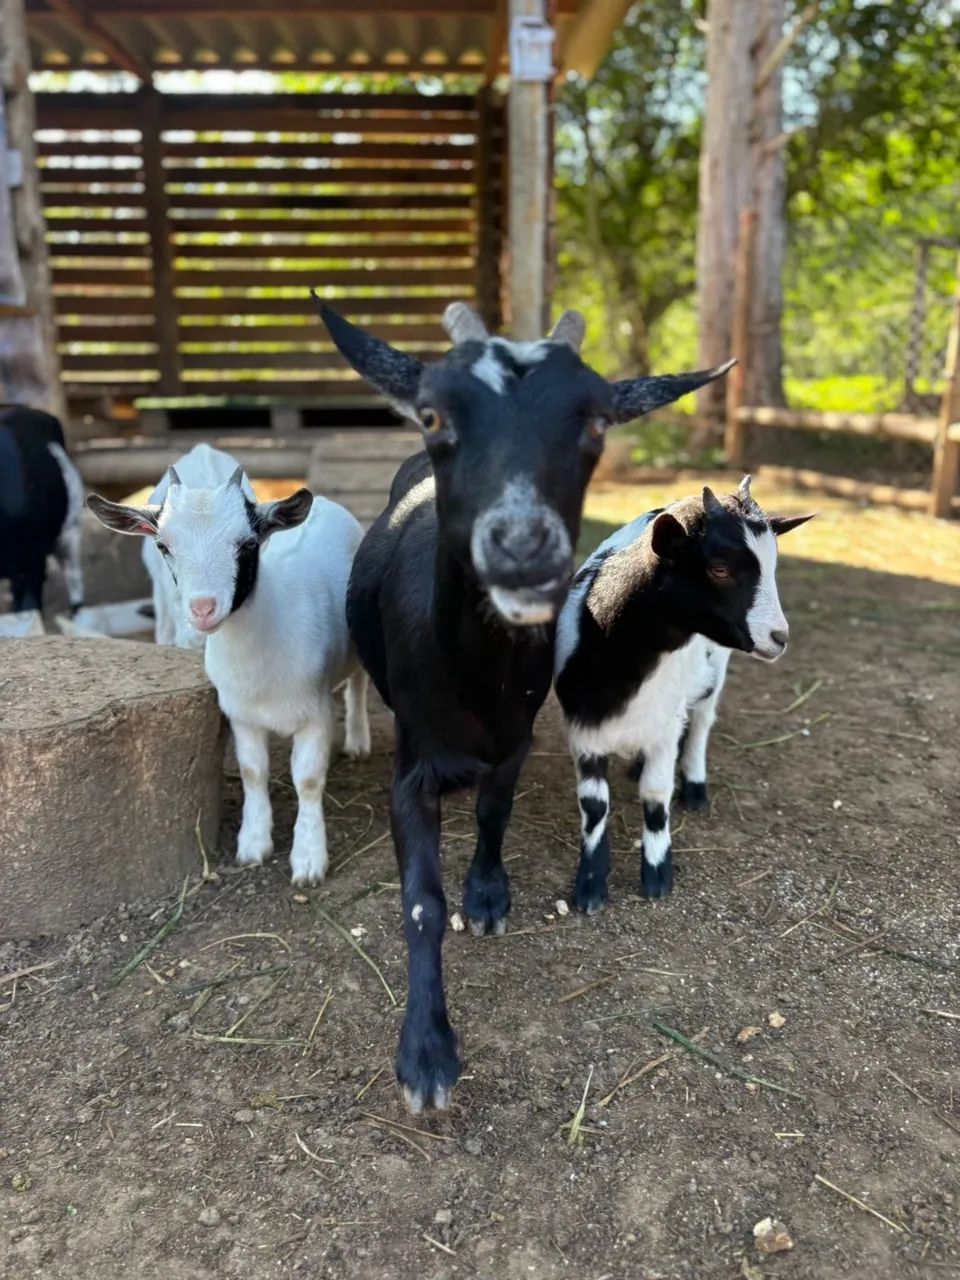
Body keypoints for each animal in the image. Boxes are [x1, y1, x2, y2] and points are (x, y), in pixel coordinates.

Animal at [87, 466, 371, 885]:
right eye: (163, 546)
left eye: (248, 543)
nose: (203, 608)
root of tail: (328, 505)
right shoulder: (241, 715)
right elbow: (252, 772)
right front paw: (253, 845)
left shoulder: (315, 713)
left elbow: (307, 780)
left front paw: (308, 861)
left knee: (358, 683)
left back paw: (357, 740)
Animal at [317, 297, 733, 1111]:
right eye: (433, 413)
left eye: (598, 420)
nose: (521, 549)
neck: (477, 680)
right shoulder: (413, 761)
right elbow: (420, 901)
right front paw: (426, 1055)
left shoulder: (515, 741)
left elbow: (494, 814)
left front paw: (486, 898)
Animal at [554, 477, 813, 912]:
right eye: (719, 569)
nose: (779, 638)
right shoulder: (583, 725)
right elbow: (594, 804)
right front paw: (590, 885)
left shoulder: (665, 725)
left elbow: (657, 794)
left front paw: (657, 873)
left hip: (715, 671)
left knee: (703, 722)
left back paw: (694, 783)